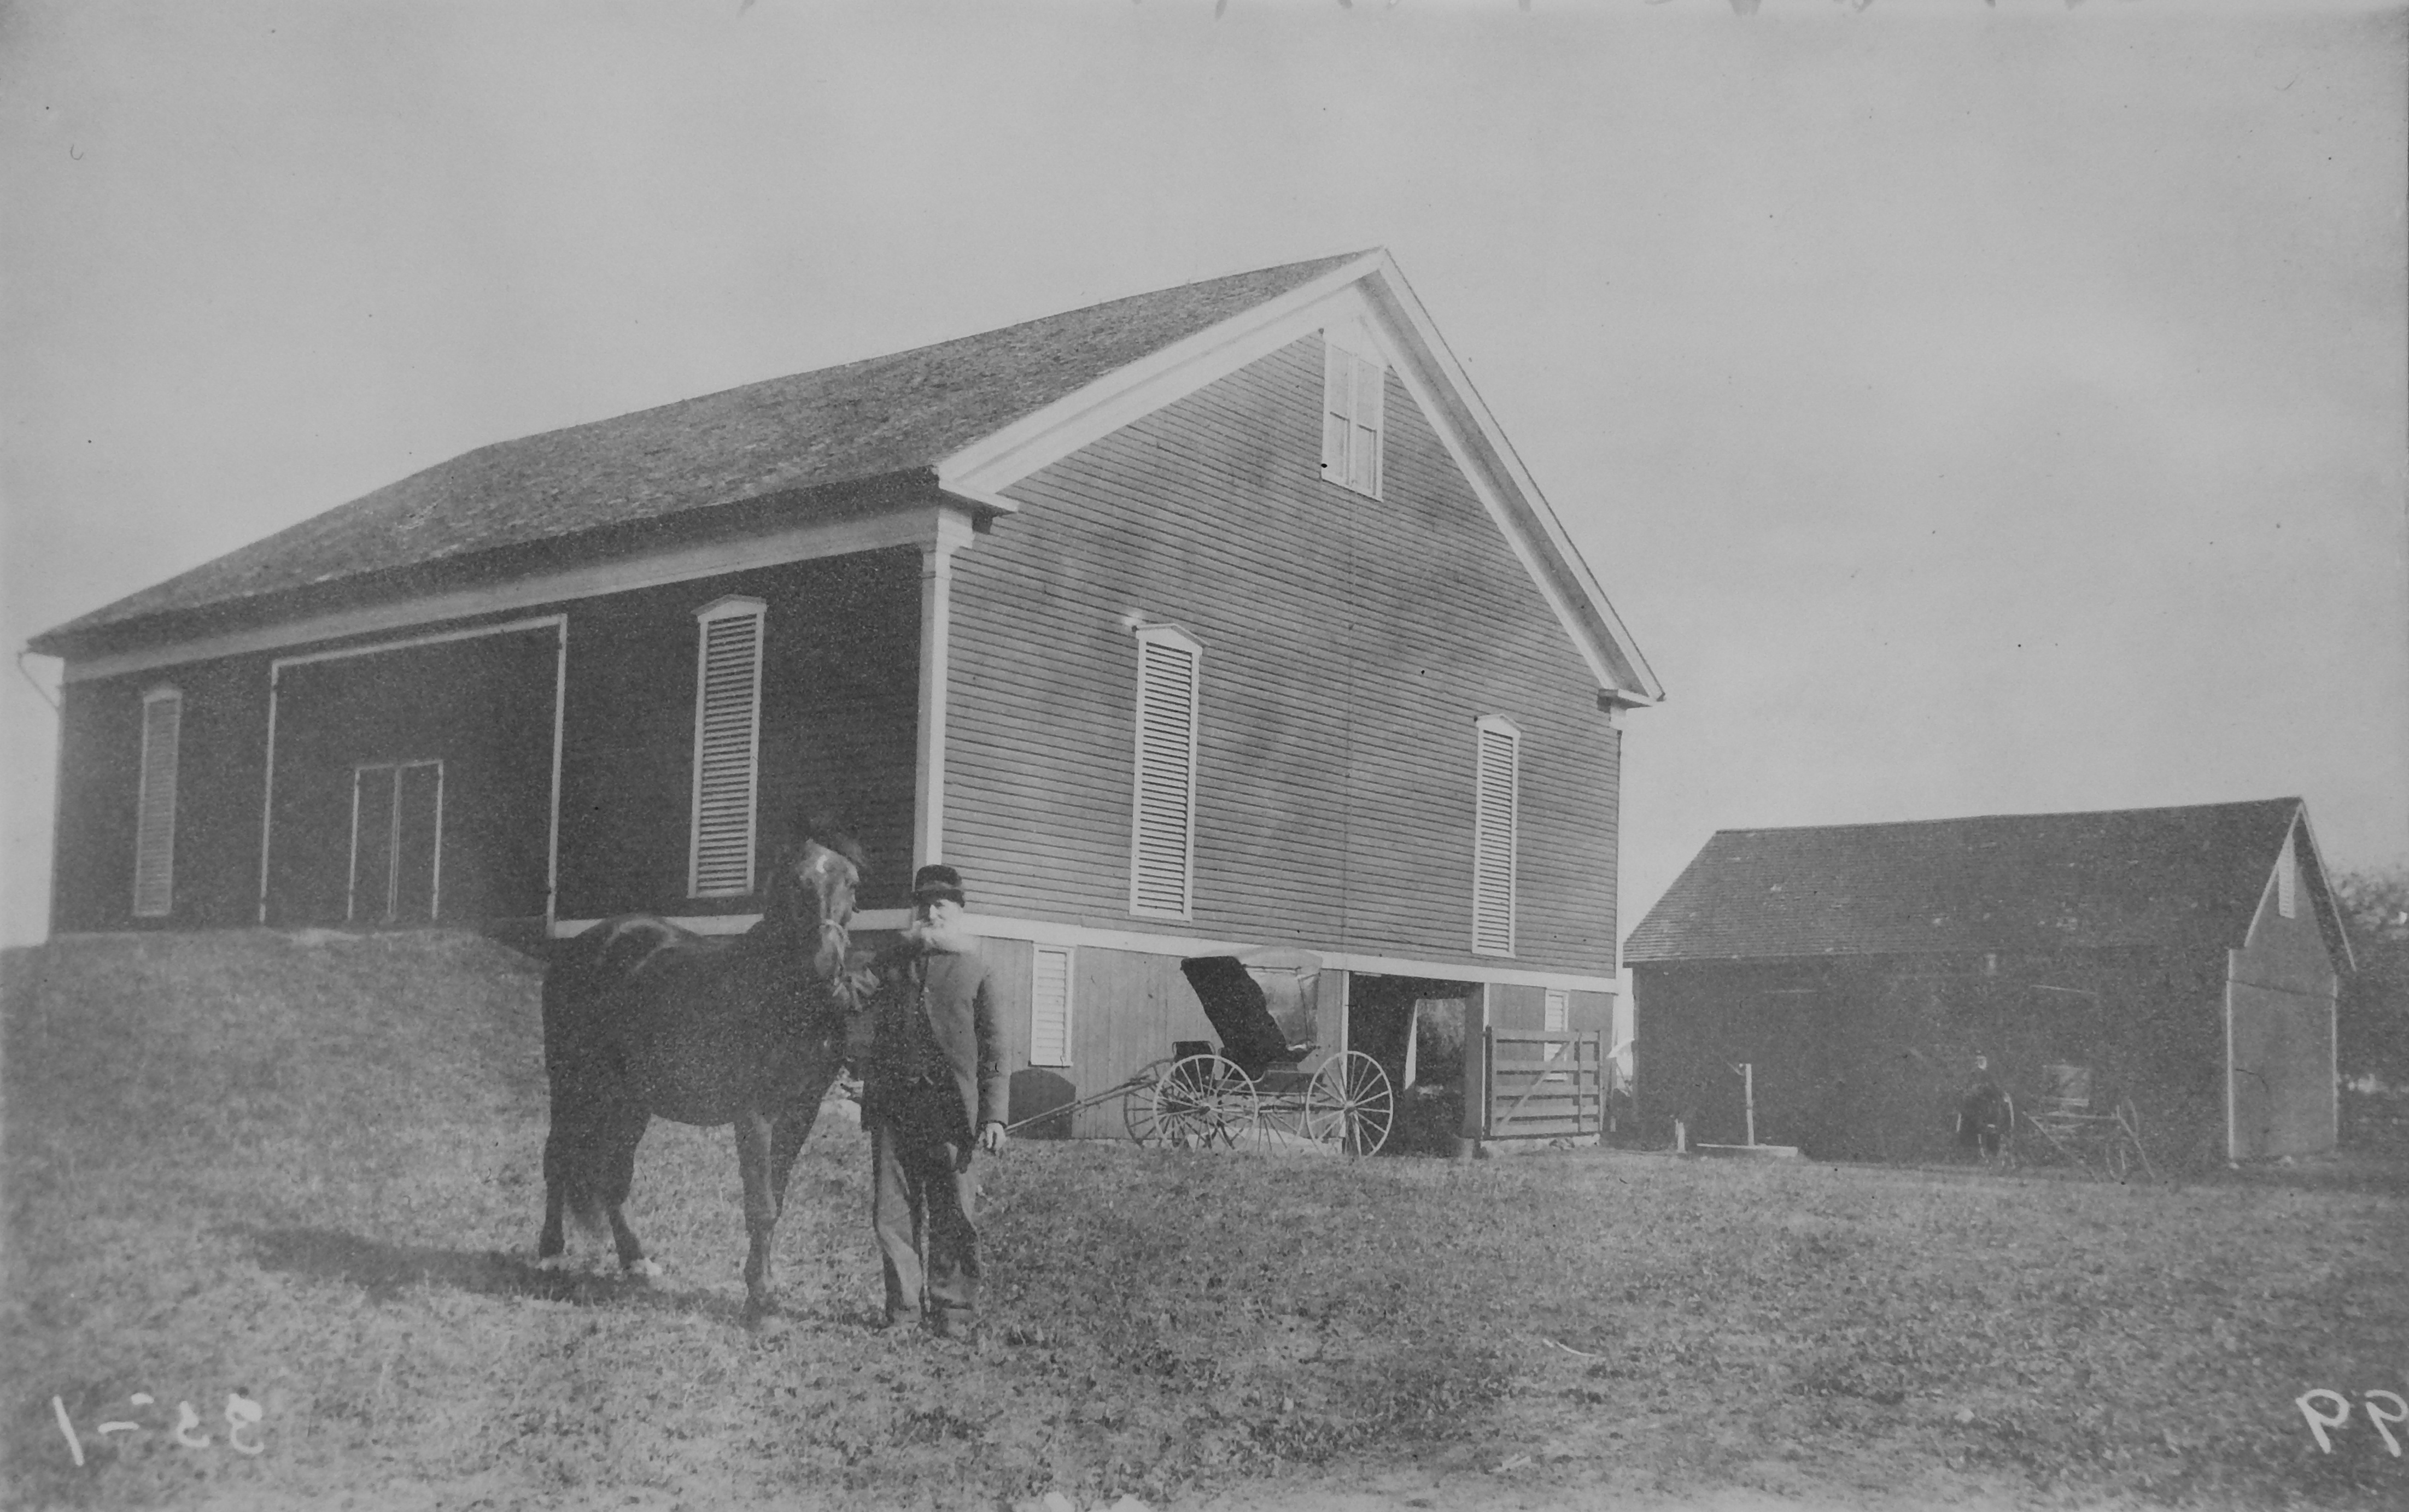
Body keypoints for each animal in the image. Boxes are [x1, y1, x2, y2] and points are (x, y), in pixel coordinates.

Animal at [537, 833, 876, 1319]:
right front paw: (760, 1297)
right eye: (797, 881)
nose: (826, 964)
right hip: (571, 1084)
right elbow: (760, 1205)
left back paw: (636, 1261)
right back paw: (550, 1254)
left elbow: (776, 1198)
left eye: (852, 883)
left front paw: (764, 1288)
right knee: (557, 1159)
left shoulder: (801, 1112)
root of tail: (590, 944)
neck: (780, 994)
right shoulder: (756, 1113)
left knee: (614, 1177)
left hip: (630, 1101)